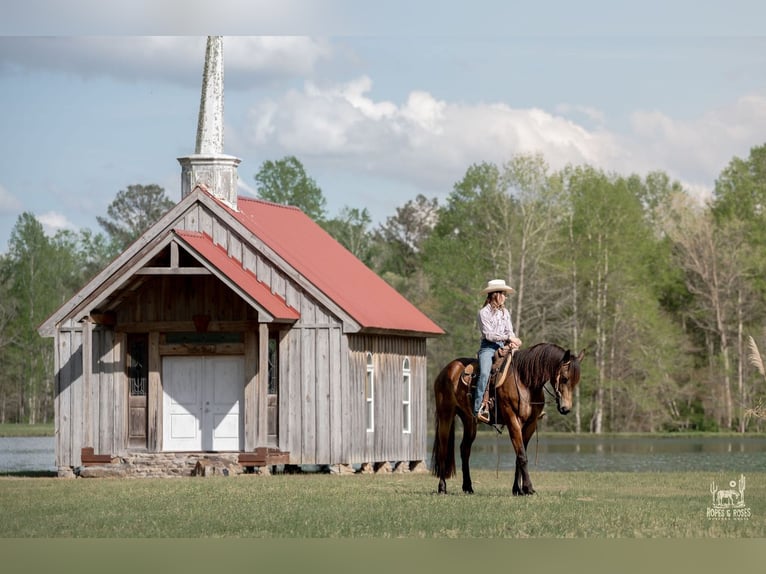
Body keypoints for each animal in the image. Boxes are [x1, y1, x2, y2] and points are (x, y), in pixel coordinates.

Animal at [431, 342, 585, 495]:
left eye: (576, 381)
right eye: (564, 378)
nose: (566, 408)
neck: (524, 382)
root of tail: (446, 370)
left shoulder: (530, 424)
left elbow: (519, 455)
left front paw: (518, 489)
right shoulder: (513, 421)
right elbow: (522, 456)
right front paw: (528, 488)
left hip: (469, 420)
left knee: (465, 449)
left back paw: (468, 487)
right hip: (446, 415)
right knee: (443, 449)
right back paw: (442, 487)